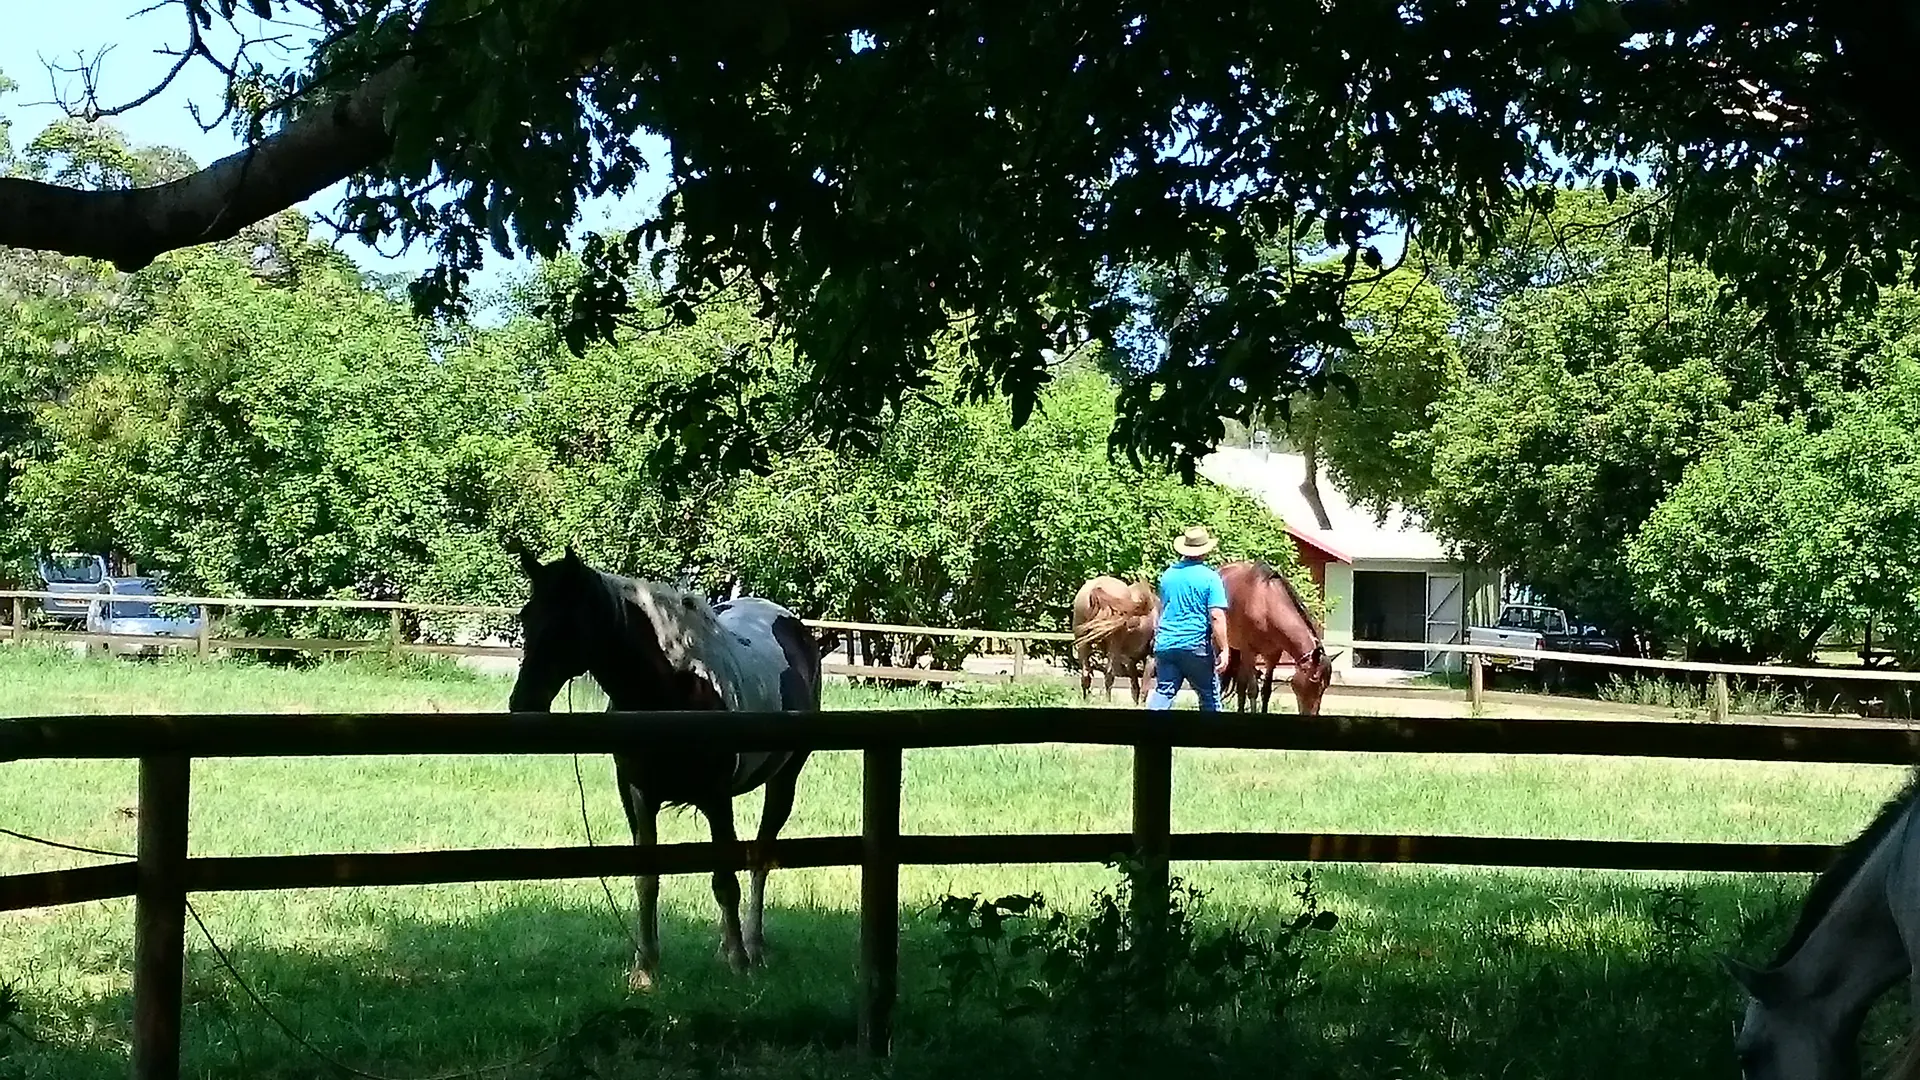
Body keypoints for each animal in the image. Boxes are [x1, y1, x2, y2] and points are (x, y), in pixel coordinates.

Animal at [503, 549, 817, 991]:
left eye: (567, 622)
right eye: (526, 616)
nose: (523, 704)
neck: (673, 690)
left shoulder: (716, 798)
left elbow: (725, 881)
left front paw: (738, 962)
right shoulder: (637, 794)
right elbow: (646, 880)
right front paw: (646, 967)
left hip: (783, 782)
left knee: (760, 858)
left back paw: (752, 945)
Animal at [1221, 553, 1344, 714]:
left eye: (1325, 687)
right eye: (1314, 681)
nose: (1311, 714)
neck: (1266, 606)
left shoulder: (1273, 655)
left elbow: (1266, 691)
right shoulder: (1249, 651)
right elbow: (1253, 691)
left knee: (1240, 685)